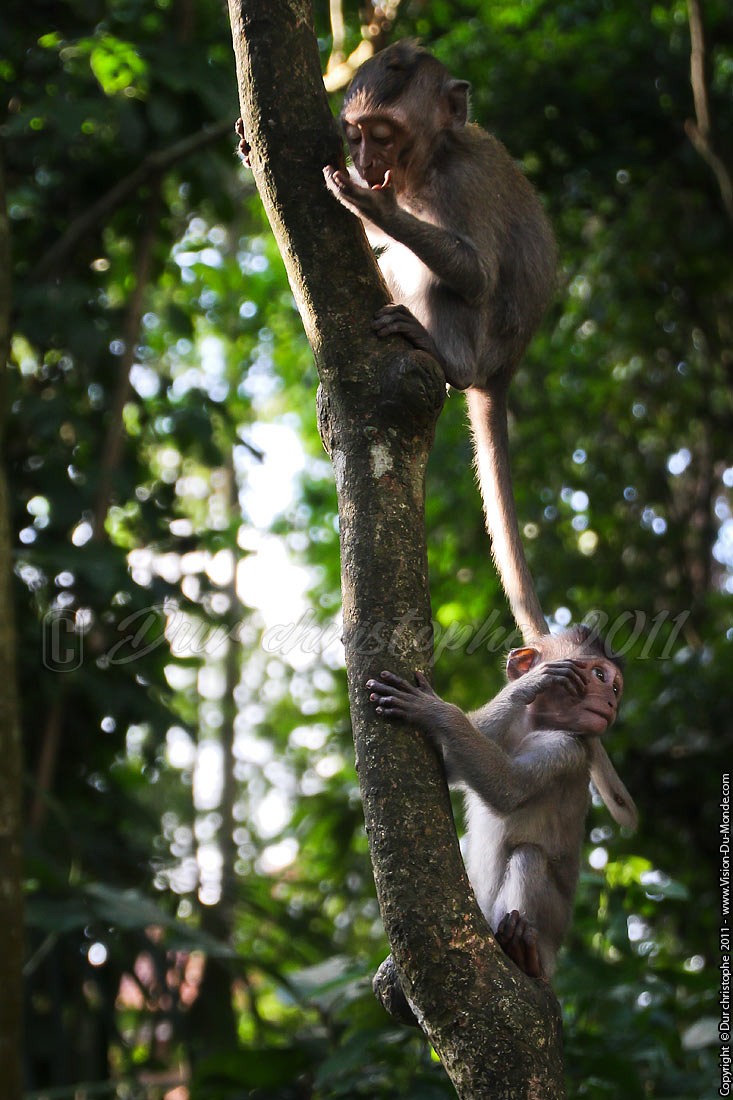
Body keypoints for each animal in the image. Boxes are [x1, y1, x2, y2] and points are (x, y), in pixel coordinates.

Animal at [366, 625, 637, 979]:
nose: (611, 701)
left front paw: (434, 710)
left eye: (615, 688)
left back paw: (523, 952)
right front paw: (526, 684)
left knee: (528, 856)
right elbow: (450, 765)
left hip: (549, 929)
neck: (536, 723)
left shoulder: (566, 747)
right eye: (600, 676)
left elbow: (508, 787)